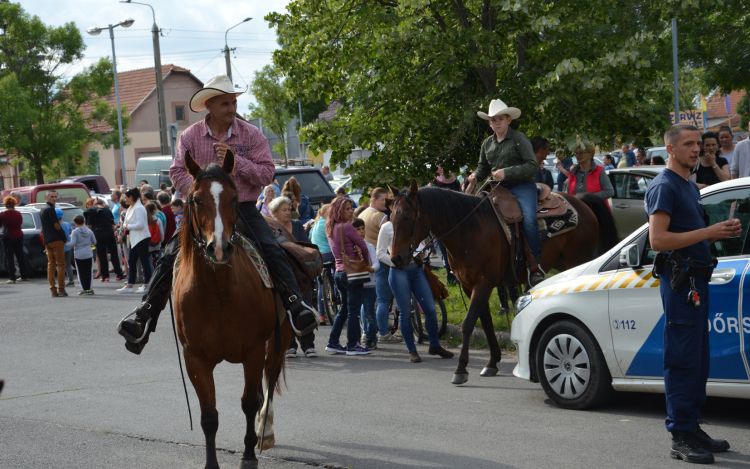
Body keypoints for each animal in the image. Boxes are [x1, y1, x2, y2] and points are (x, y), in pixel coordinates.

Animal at [176, 152, 290, 466]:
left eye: (235, 198)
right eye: (196, 199)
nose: (218, 248)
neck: (218, 294)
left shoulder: (253, 350)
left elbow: (249, 403)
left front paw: (249, 455)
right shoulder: (195, 358)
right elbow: (209, 416)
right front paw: (211, 463)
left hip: (280, 338)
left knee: (269, 381)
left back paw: (266, 431)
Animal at [388, 179, 616, 384]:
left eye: (407, 216)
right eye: (391, 216)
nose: (396, 258)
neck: (470, 229)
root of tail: (580, 202)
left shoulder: (484, 283)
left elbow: (467, 323)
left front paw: (461, 369)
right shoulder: (470, 286)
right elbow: (485, 322)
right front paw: (492, 363)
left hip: (579, 259)